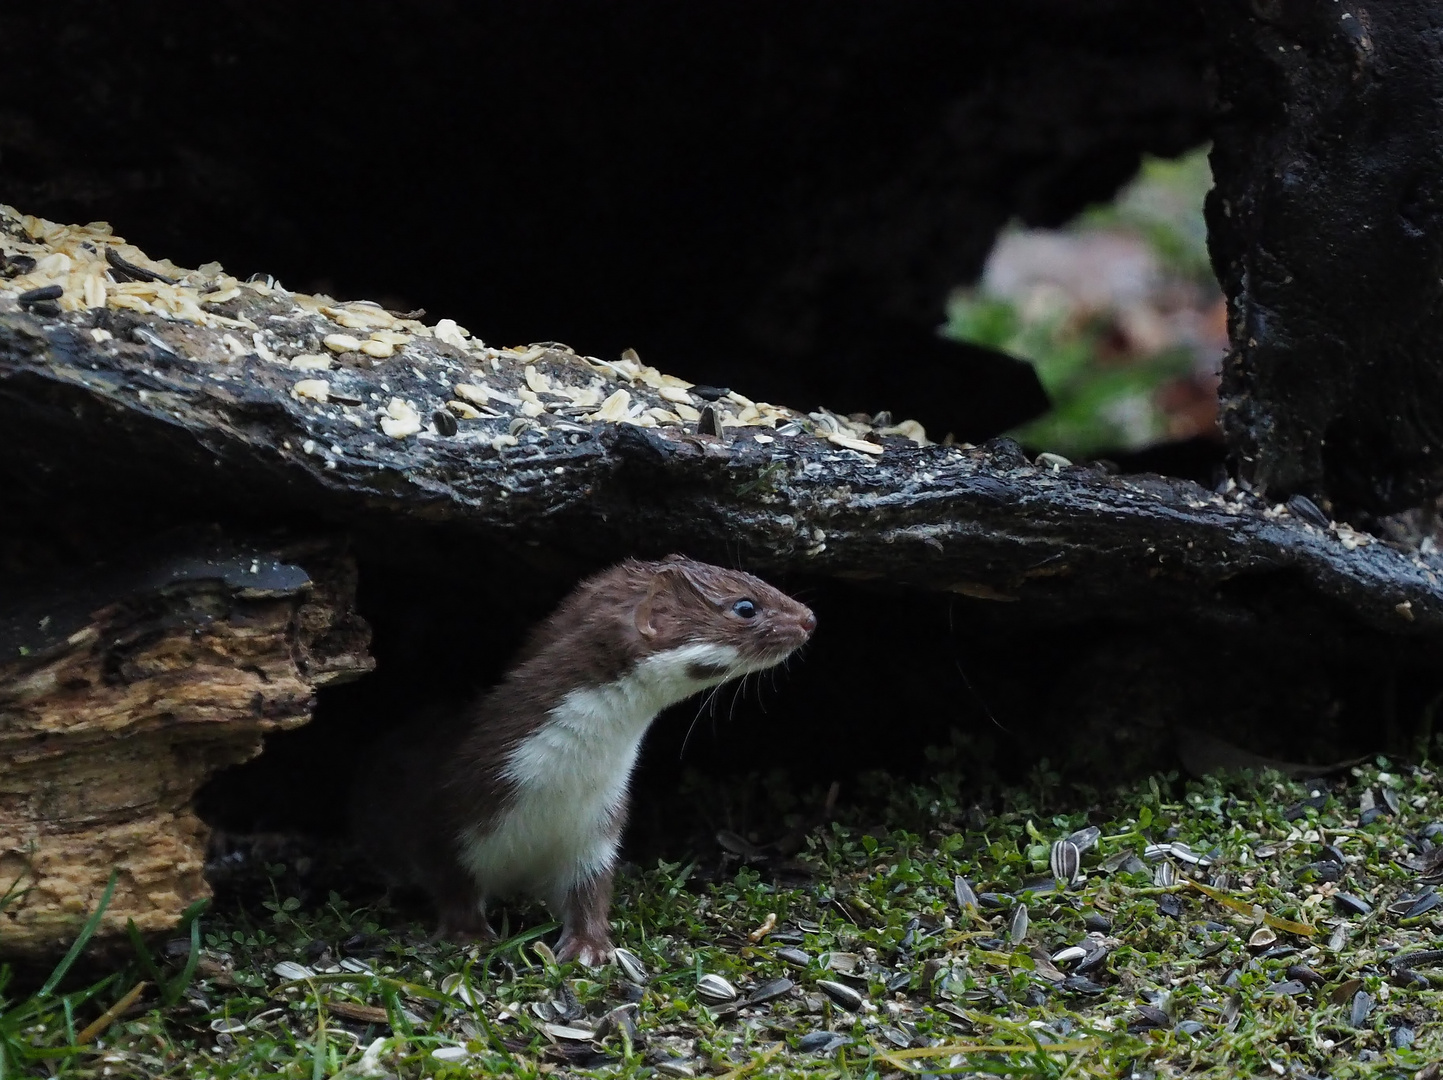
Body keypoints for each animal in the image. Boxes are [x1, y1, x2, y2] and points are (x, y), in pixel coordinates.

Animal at [352, 557, 813, 964]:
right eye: (745, 606)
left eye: (756, 578)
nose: (809, 617)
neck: (563, 784)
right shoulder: (447, 809)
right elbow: (452, 883)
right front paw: (469, 935)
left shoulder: (600, 825)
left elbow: (589, 891)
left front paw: (590, 946)